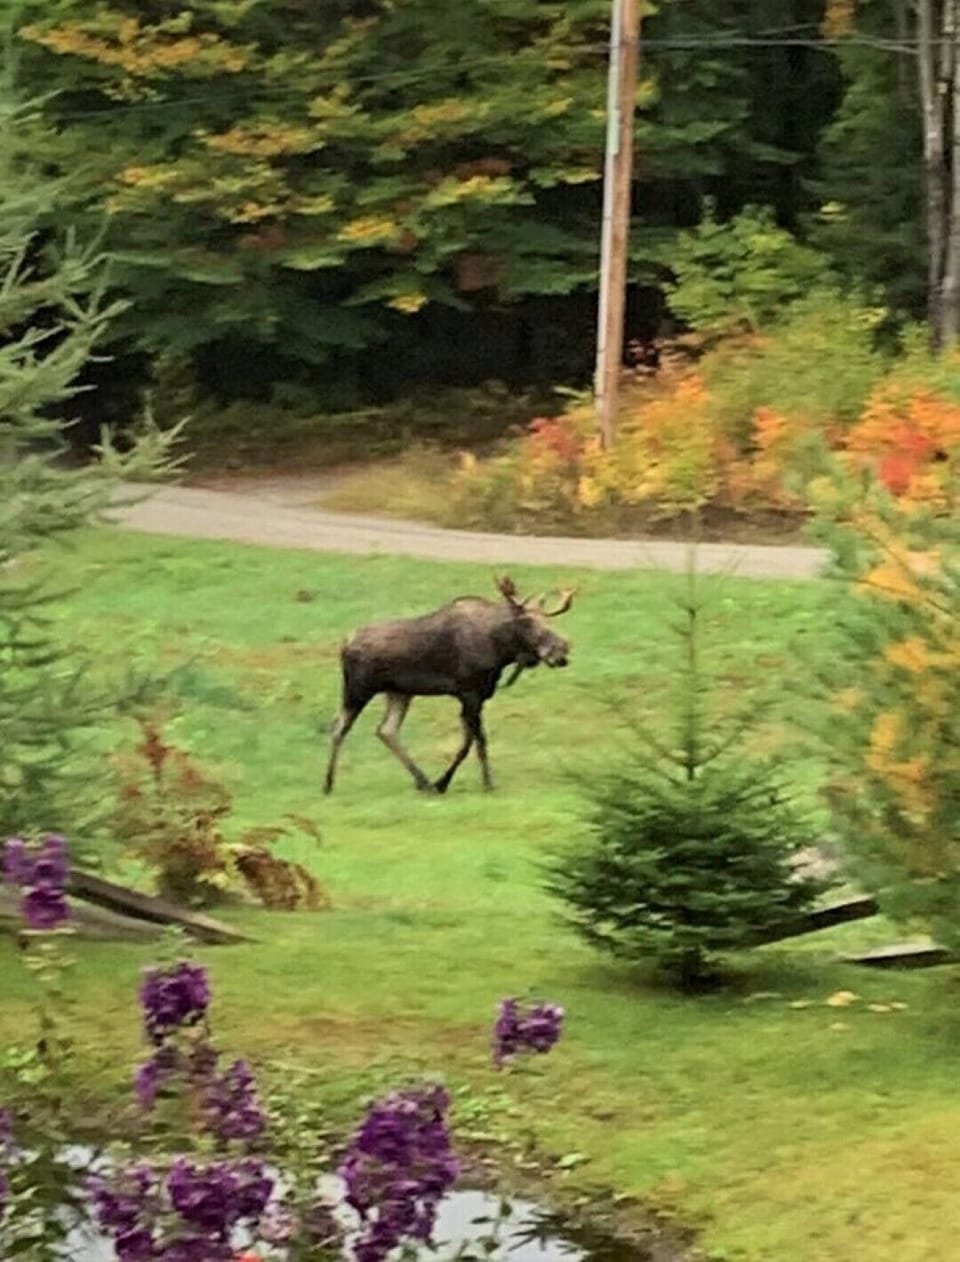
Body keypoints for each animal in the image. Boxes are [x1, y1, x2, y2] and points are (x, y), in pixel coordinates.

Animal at [323, 576, 575, 796]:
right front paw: (479, 783)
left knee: (386, 730)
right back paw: (328, 784)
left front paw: (445, 783)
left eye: (550, 620)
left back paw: (423, 782)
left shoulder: (476, 697)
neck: (500, 649)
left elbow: (470, 741)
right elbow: (475, 742)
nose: (561, 651)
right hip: (358, 690)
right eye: (527, 622)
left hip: (399, 693)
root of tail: (345, 643)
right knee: (339, 726)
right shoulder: (469, 693)